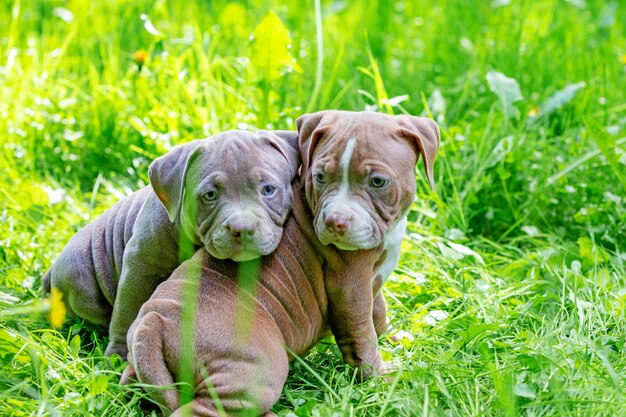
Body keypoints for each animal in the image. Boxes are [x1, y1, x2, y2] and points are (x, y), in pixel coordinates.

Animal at [41, 128, 300, 356]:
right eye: (210, 195)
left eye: (268, 190)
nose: (242, 228)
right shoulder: (138, 266)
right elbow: (127, 312)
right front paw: (119, 355)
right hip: (80, 280)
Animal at [120, 112, 434, 414]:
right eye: (320, 177)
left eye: (378, 181)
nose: (336, 221)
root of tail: (154, 324)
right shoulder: (349, 287)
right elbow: (361, 333)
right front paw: (381, 378)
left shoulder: (372, 282)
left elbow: (378, 313)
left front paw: (394, 338)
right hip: (256, 368)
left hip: (144, 368)